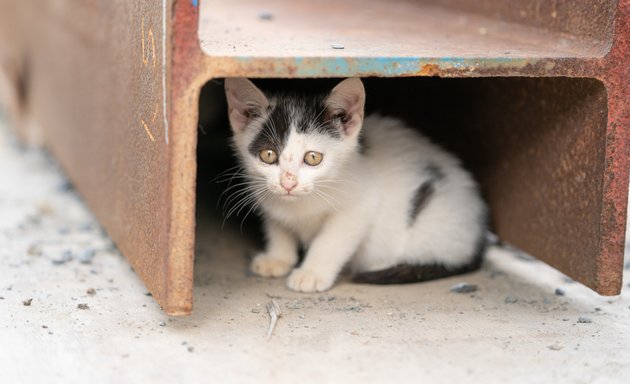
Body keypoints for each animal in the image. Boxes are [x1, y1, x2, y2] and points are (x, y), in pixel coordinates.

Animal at [226, 78, 488, 292]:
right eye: (268, 154)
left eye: (313, 158)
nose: (288, 182)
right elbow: (278, 227)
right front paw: (278, 258)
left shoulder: (360, 205)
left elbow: (331, 240)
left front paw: (311, 273)